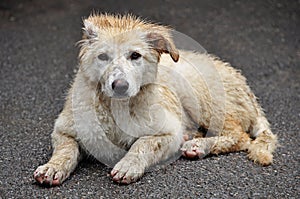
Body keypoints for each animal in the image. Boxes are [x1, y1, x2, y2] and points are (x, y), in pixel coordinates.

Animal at [32, 13, 276, 185]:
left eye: (135, 56)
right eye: (103, 57)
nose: (120, 87)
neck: (116, 108)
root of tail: (247, 89)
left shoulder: (168, 132)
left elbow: (143, 143)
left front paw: (128, 165)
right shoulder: (63, 129)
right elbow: (66, 149)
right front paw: (53, 167)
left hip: (200, 95)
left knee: (240, 136)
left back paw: (198, 145)